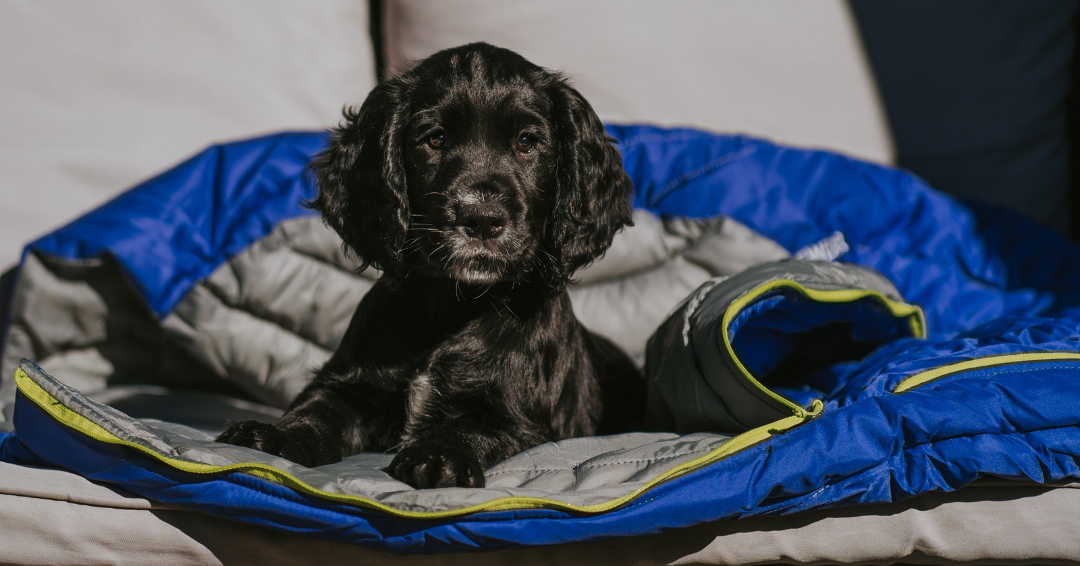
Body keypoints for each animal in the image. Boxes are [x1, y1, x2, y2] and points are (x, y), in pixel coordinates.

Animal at [214, 43, 643, 486]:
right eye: (434, 139)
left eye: (527, 141)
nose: (481, 218)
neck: (453, 306)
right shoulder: (351, 385)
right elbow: (317, 411)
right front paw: (274, 435)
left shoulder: (518, 420)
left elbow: (468, 427)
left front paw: (439, 456)